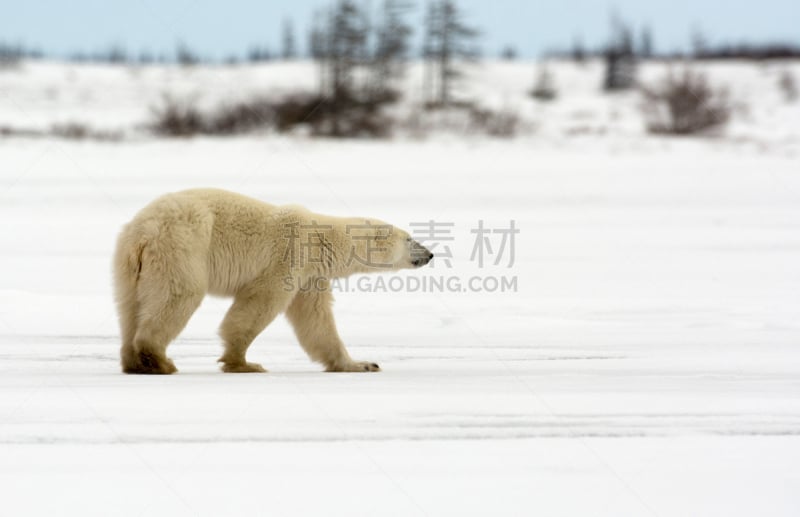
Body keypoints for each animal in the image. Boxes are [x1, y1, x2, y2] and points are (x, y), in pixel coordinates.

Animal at [112, 187, 432, 372]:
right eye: (410, 238)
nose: (429, 254)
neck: (321, 241)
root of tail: (144, 231)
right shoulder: (287, 259)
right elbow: (258, 304)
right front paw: (243, 362)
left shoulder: (310, 275)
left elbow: (316, 321)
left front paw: (361, 363)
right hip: (182, 246)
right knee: (179, 294)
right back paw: (159, 360)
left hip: (129, 265)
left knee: (130, 308)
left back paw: (134, 361)